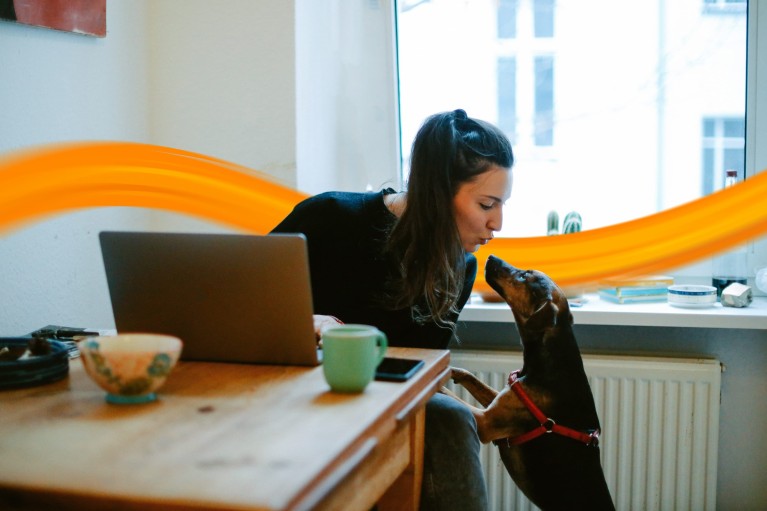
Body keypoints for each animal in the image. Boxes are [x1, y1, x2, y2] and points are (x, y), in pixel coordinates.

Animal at [448, 256, 616, 511]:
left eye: (524, 276)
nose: (491, 257)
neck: (549, 361)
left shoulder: (486, 423)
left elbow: (450, 396)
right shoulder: (503, 398)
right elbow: (471, 377)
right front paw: (450, 371)